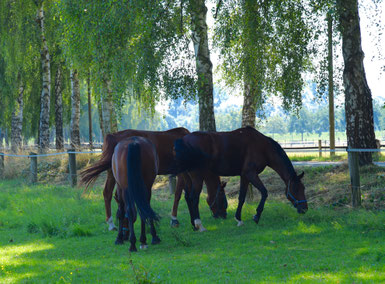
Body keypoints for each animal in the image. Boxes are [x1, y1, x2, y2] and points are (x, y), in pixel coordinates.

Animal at [79, 127, 226, 231]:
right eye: (223, 199)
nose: (223, 215)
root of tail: (113, 136)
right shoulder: (182, 173)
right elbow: (179, 195)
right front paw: (175, 219)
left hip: (112, 172)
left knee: (107, 194)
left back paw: (112, 223)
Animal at [176, 126, 308, 229]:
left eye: (304, 188)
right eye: (296, 189)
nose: (305, 209)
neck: (263, 147)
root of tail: (183, 140)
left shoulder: (244, 176)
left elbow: (242, 197)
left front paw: (239, 219)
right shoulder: (251, 174)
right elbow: (264, 192)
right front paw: (256, 216)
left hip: (189, 177)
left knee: (188, 197)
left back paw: (193, 225)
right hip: (197, 176)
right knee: (193, 198)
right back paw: (199, 224)